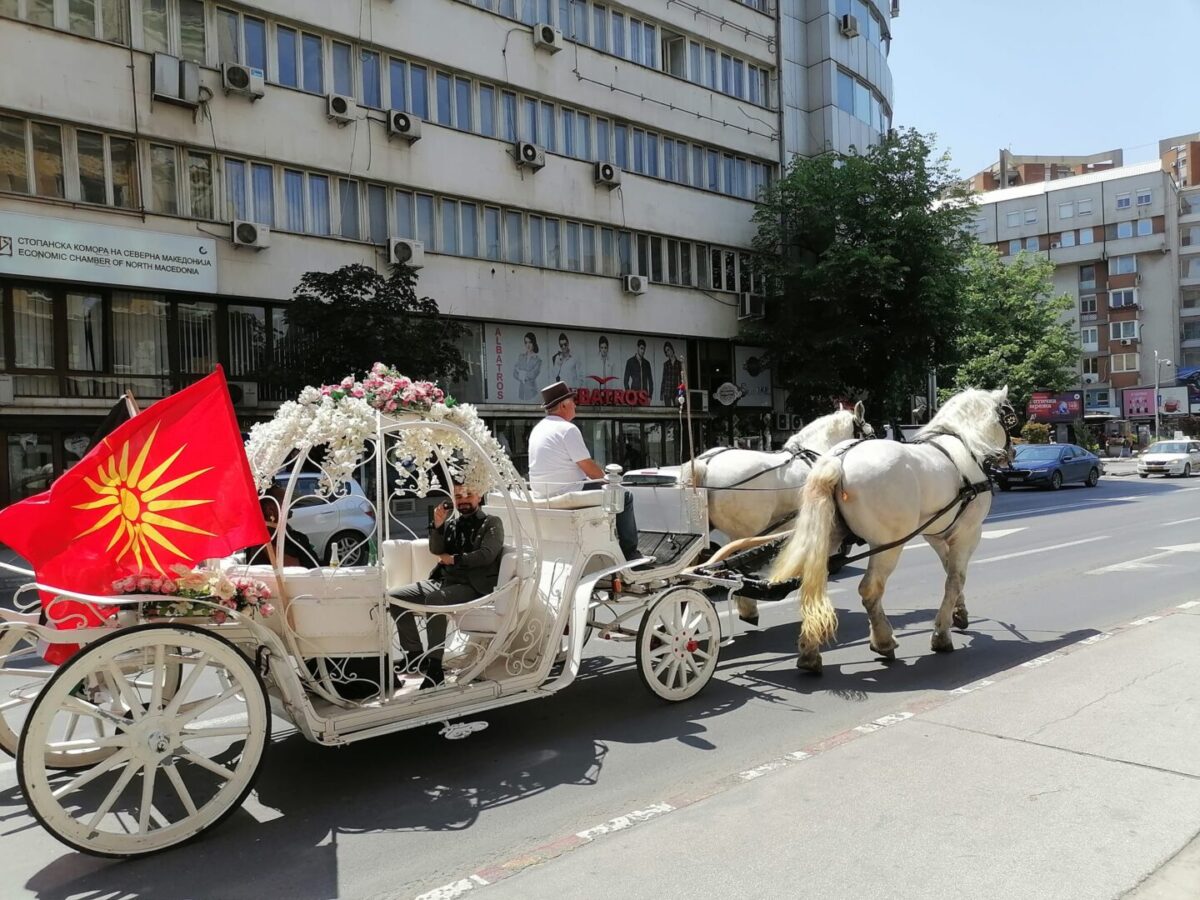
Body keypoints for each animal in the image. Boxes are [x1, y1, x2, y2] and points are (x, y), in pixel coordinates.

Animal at [768, 388, 1012, 676]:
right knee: (870, 589)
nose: (1011, 453)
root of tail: (837, 461)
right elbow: (955, 579)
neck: (964, 446)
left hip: (827, 538)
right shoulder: (968, 533)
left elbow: (949, 570)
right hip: (889, 544)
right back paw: (883, 641)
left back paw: (809, 652)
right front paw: (941, 634)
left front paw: (959, 613)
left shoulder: (936, 533)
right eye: (1010, 418)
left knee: (812, 585)